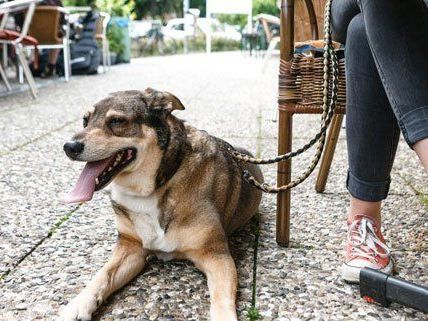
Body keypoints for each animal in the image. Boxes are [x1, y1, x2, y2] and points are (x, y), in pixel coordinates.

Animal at [59, 88, 262, 320]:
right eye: (85, 121)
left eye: (117, 121)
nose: (69, 147)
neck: (152, 189)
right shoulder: (131, 247)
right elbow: (102, 274)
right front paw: (78, 304)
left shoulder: (217, 255)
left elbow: (221, 299)